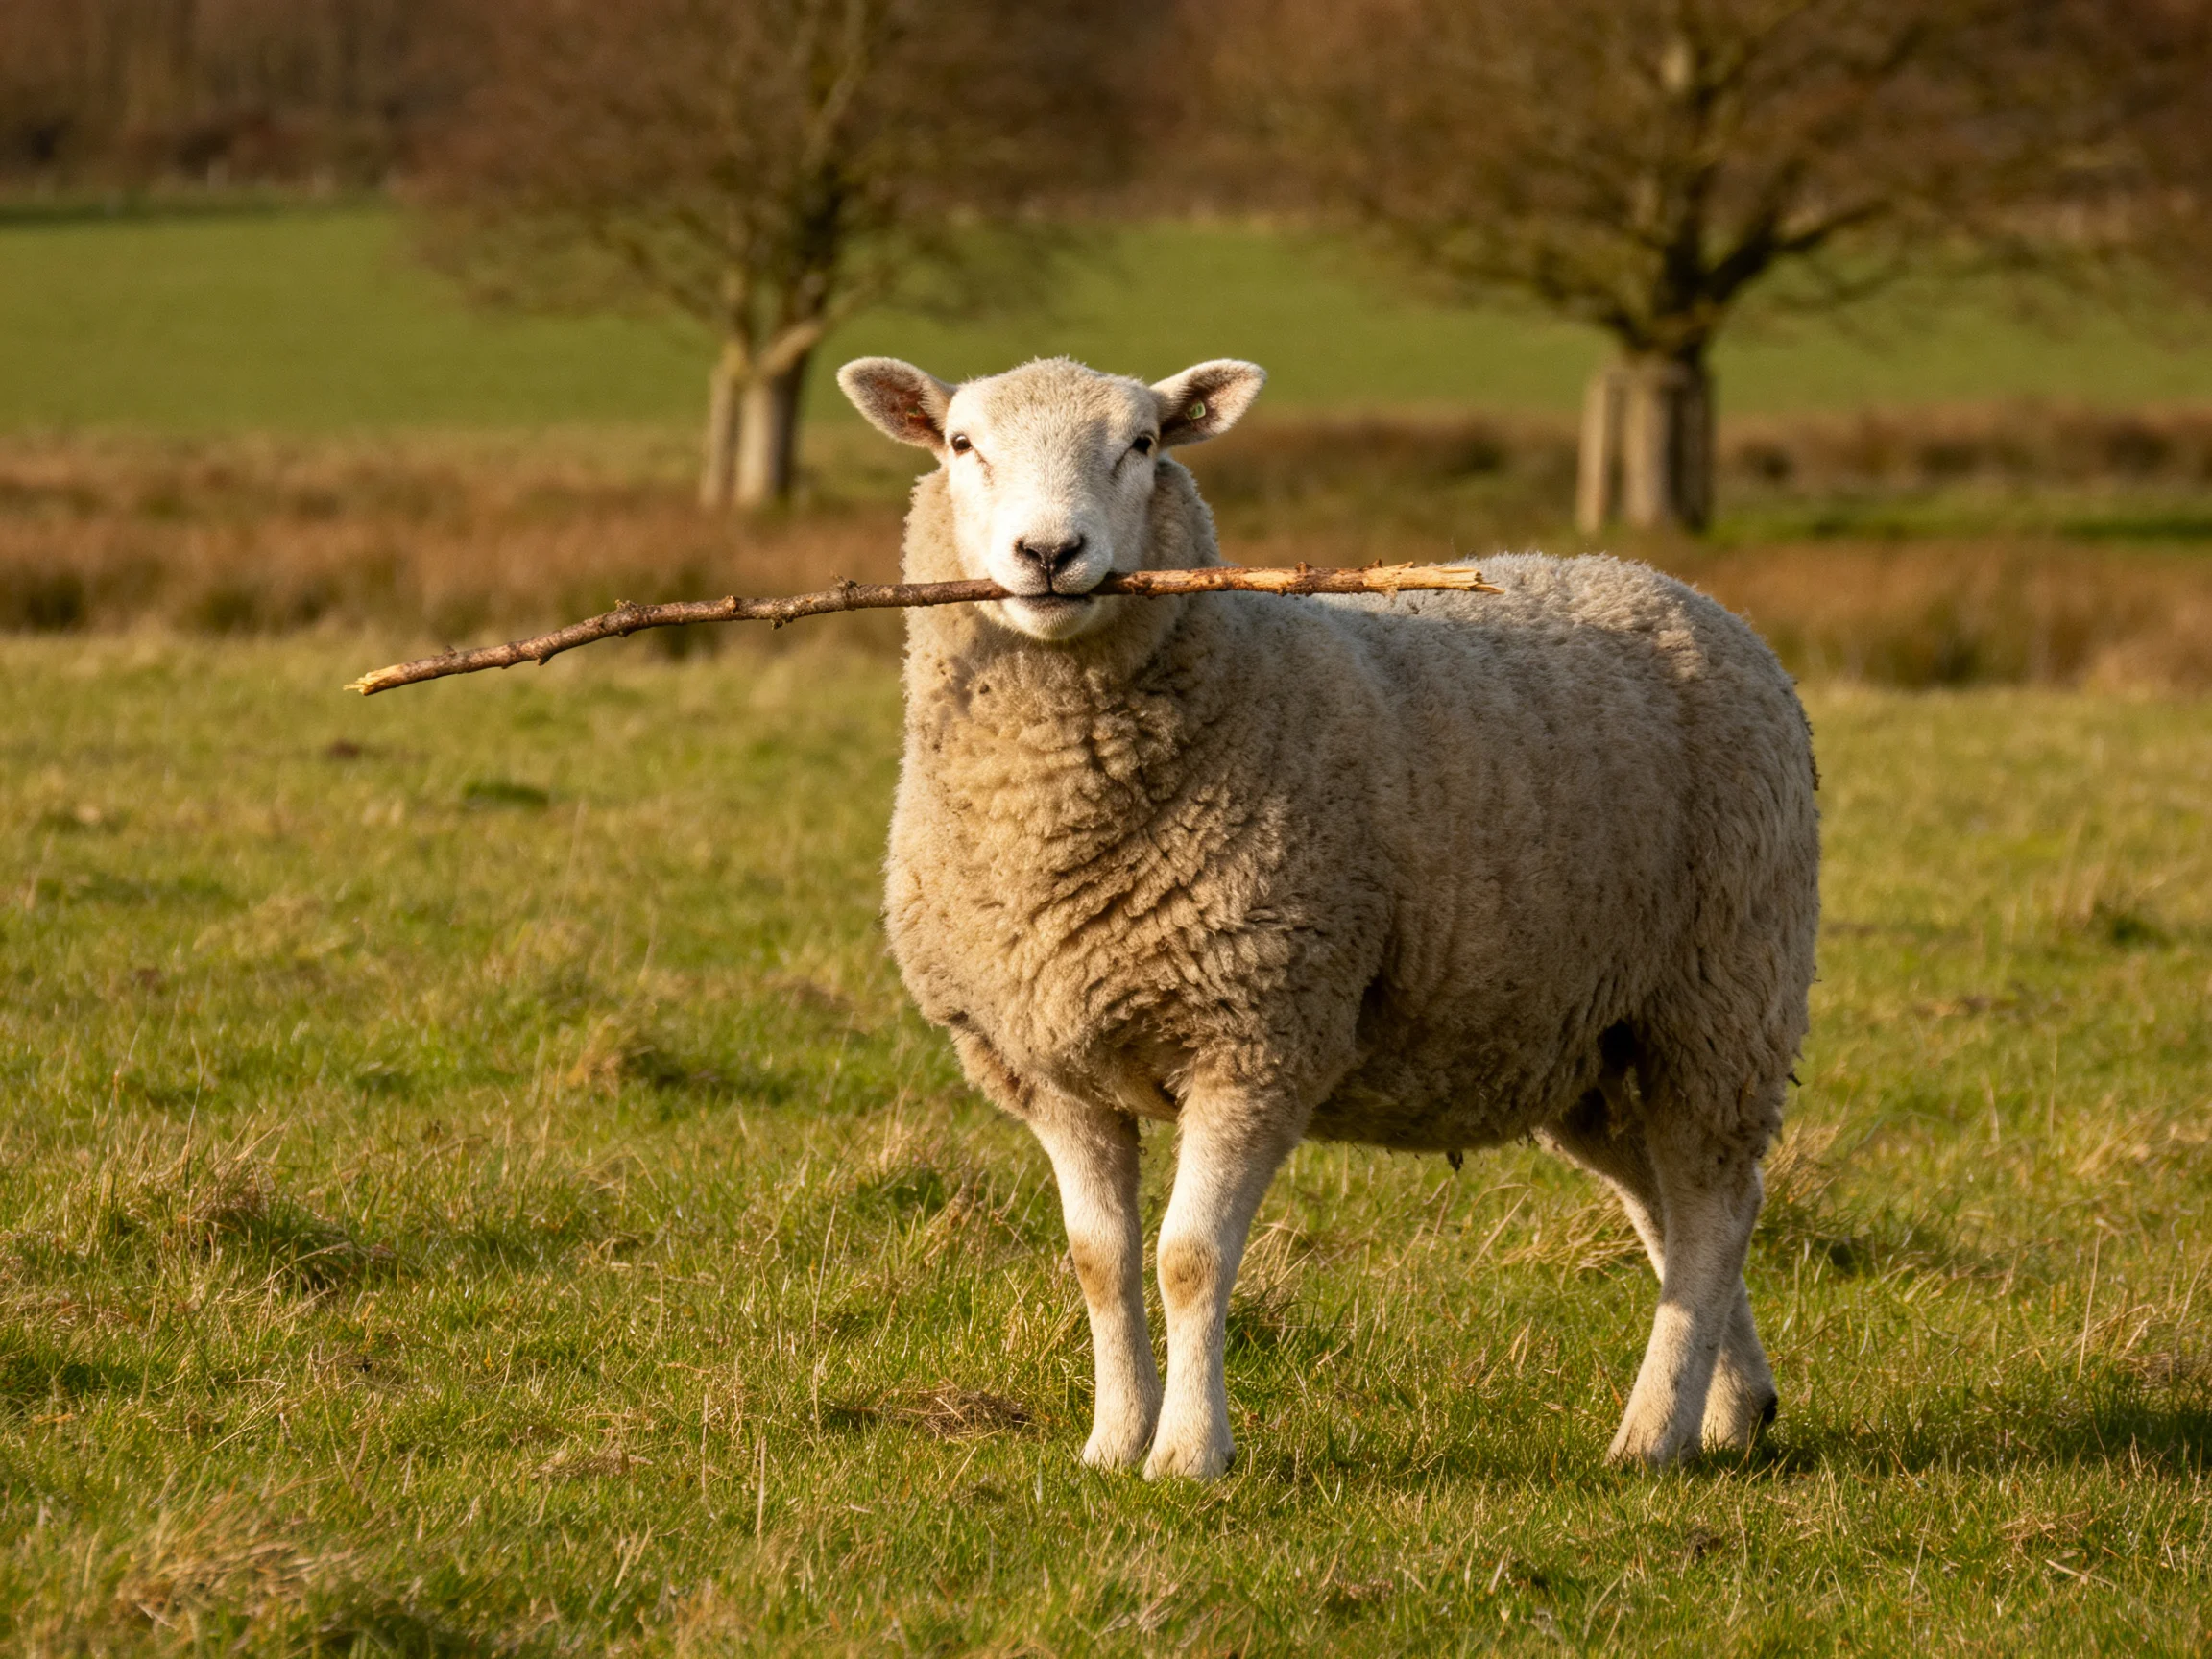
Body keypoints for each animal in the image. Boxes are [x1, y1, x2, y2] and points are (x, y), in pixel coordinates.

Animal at [836, 353, 1821, 1479]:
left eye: (1144, 444)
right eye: (961, 444)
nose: (1049, 554)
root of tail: (1685, 594)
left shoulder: (1256, 1036)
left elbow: (1187, 1259)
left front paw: (1187, 1456)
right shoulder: (1049, 1067)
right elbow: (1098, 1259)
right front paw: (1112, 1442)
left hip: (1724, 989)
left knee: (1713, 1203)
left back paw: (1652, 1433)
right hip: (1585, 1036)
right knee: (1669, 1201)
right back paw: (1730, 1408)